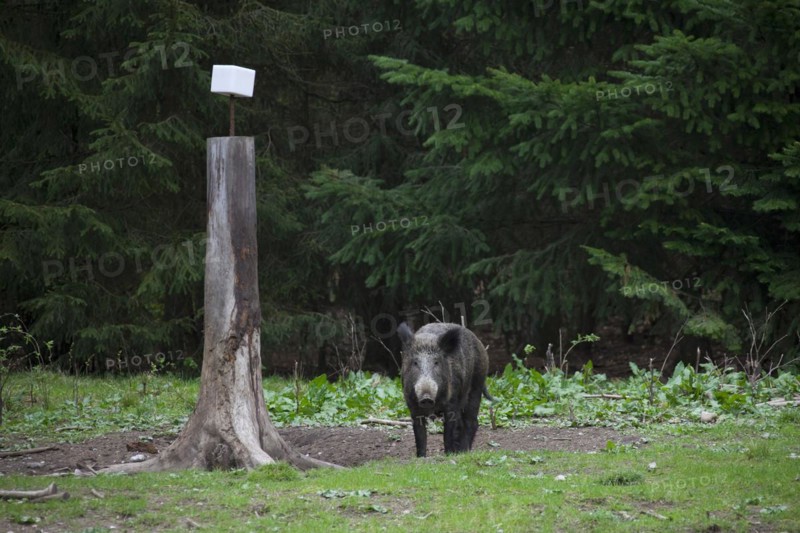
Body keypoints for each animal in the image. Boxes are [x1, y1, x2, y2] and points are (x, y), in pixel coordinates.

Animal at [398, 321, 493, 457]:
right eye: (415, 362)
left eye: (436, 362)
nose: (426, 397)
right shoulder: (413, 406)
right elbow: (420, 434)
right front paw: (421, 457)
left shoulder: (451, 404)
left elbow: (447, 433)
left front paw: (448, 455)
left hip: (477, 384)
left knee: (471, 421)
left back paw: (464, 451)